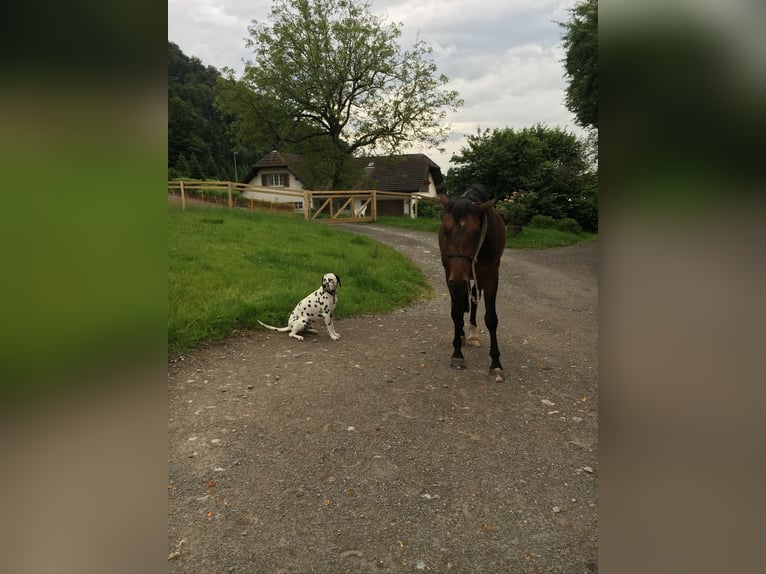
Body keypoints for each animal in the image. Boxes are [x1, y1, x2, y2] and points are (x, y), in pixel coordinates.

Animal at [440, 184, 508, 382]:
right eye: (445, 231)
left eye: (476, 233)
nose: (457, 283)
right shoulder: (450, 274)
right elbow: (456, 313)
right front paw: (457, 354)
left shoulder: (491, 276)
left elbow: (491, 319)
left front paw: (496, 364)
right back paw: (463, 334)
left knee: (474, 299)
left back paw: (472, 333)